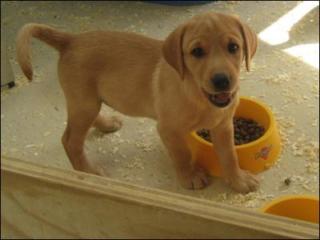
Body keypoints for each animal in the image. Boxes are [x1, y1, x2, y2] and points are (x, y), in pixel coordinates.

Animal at [16, 12, 258, 194]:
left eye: (233, 47)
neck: (197, 94)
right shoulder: (168, 129)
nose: (222, 80)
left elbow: (229, 155)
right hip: (83, 102)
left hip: (88, 101)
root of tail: (70, 40)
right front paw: (190, 176)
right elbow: (182, 154)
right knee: (69, 141)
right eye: (197, 52)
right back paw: (88, 172)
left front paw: (238, 180)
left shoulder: (223, 125)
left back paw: (106, 124)